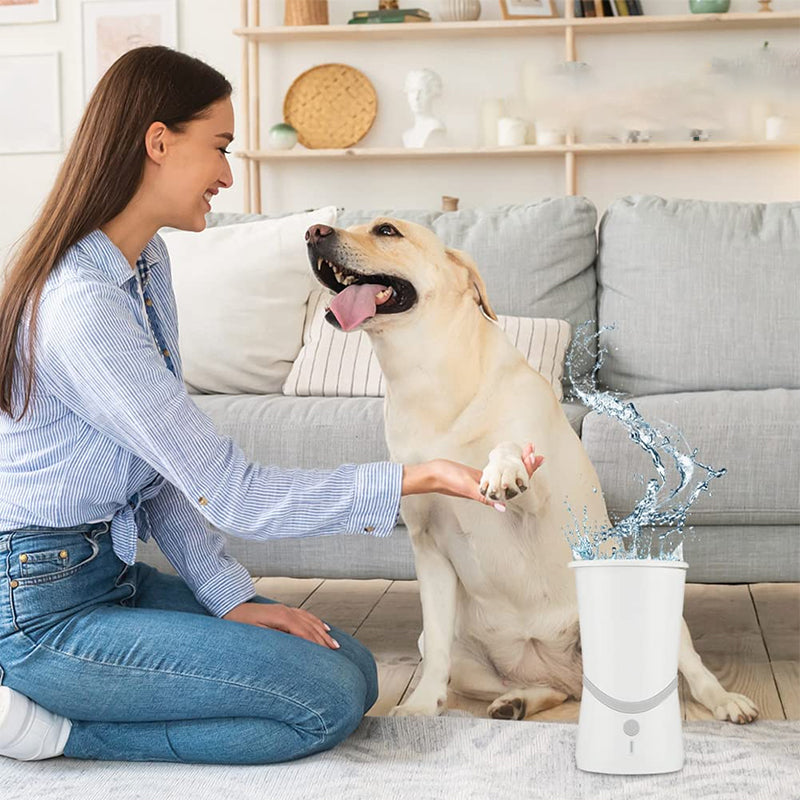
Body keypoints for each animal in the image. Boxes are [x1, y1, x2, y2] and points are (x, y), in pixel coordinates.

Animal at [304, 219, 756, 724]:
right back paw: (515, 702)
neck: (430, 380)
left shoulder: (538, 500)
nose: (313, 230)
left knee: (689, 670)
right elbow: (437, 648)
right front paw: (420, 705)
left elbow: (510, 449)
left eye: (387, 230)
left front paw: (501, 470)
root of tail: (570, 672)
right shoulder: (427, 547)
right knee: (543, 689)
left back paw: (726, 701)